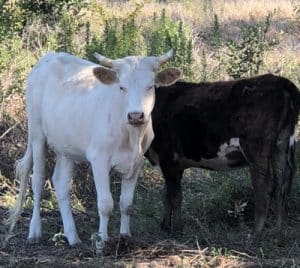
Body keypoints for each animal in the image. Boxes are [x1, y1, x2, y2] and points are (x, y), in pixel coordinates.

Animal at [7, 50, 180, 247]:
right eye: (122, 87)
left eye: (150, 87)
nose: (136, 115)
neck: (131, 136)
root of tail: (49, 56)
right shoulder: (99, 159)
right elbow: (105, 204)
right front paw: (101, 241)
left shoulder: (136, 163)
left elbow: (126, 204)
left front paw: (124, 237)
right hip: (36, 133)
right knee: (37, 179)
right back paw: (35, 232)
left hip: (66, 147)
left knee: (61, 182)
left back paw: (73, 237)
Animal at [148, 73, 300, 243]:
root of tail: (281, 82)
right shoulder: (172, 162)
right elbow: (166, 193)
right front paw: (165, 225)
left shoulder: (168, 157)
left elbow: (175, 195)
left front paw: (176, 230)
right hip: (282, 144)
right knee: (283, 184)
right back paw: (280, 236)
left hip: (256, 149)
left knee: (265, 187)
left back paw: (254, 236)